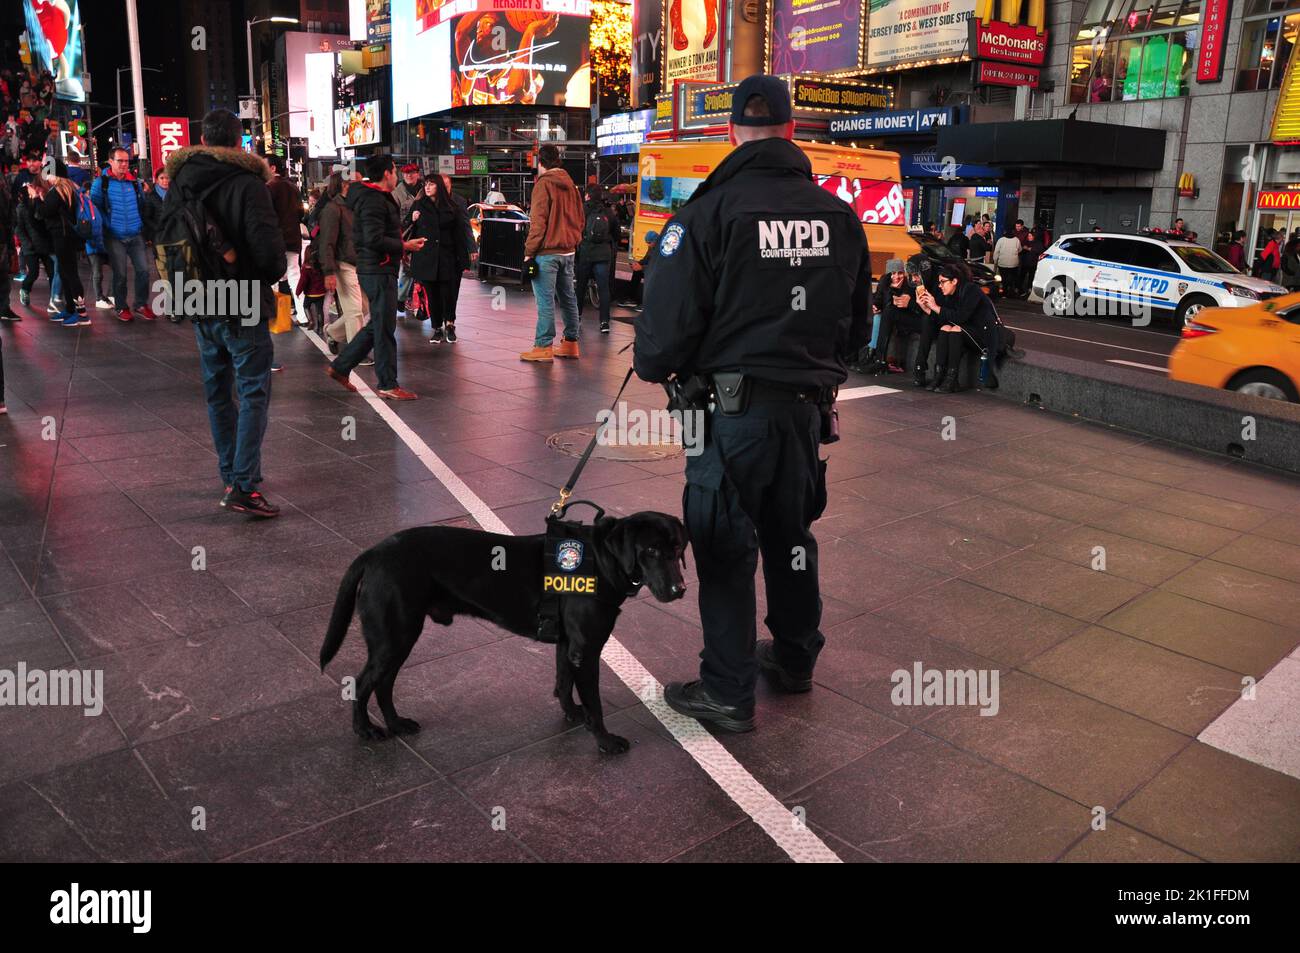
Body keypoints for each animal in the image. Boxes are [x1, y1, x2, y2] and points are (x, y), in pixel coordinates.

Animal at [317, 509, 691, 754]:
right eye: (650, 550)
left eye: (677, 549)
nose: (679, 590)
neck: (601, 559)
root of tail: (373, 553)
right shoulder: (586, 649)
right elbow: (595, 703)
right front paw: (604, 740)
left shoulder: (567, 645)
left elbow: (563, 682)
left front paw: (571, 713)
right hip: (393, 637)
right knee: (363, 683)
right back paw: (365, 729)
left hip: (399, 638)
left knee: (383, 685)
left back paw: (396, 724)